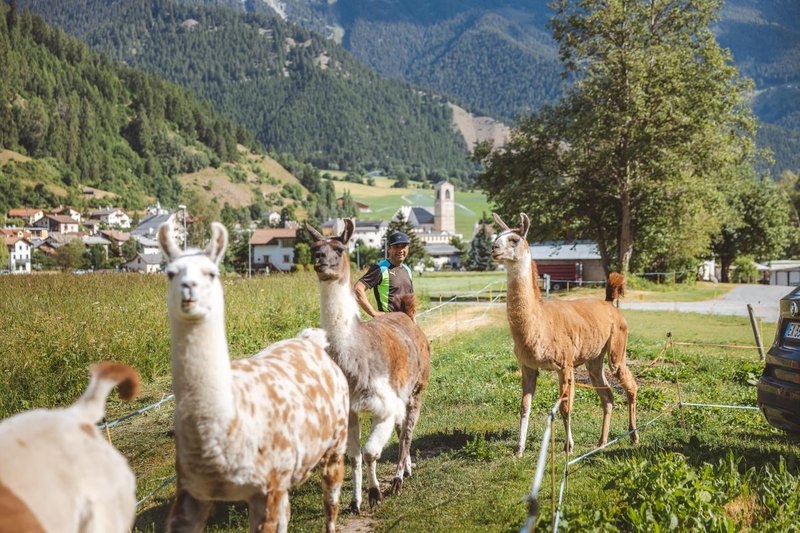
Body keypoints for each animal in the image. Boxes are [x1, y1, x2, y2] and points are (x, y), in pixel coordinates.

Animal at [159, 222, 350, 533]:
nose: (188, 290)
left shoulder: (266, 486)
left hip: (335, 441)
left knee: (330, 498)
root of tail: (309, 340)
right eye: (171, 272)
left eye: (211, 272)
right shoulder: (190, 492)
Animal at [305, 219, 431, 513]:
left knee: (407, 433)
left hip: (418, 387)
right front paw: (355, 501)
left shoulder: (382, 403)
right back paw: (406, 469)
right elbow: (354, 456)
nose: (319, 259)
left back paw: (397, 479)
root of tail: (407, 317)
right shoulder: (350, 408)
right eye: (314, 248)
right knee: (401, 428)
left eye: (339, 248)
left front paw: (375, 494)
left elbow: (371, 452)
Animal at [491, 212, 638, 455]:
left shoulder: (565, 364)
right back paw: (601, 442)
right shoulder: (528, 366)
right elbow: (524, 407)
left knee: (631, 386)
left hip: (617, 347)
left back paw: (634, 436)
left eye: (514, 239)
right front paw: (519, 449)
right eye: (496, 237)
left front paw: (568, 447)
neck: (539, 324)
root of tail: (609, 303)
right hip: (594, 359)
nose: (494, 248)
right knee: (607, 396)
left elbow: (566, 408)